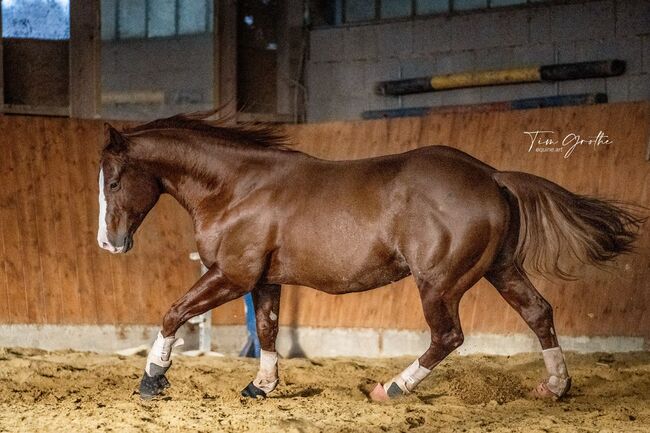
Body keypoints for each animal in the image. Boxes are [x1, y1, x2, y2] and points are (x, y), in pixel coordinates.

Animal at [96, 110, 636, 398]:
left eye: (115, 181)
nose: (110, 243)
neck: (236, 188)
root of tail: (493, 175)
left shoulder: (231, 274)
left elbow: (174, 312)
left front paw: (152, 378)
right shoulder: (264, 280)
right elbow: (267, 330)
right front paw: (261, 386)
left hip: (439, 283)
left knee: (448, 336)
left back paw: (392, 388)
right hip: (501, 269)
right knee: (539, 312)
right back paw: (556, 387)